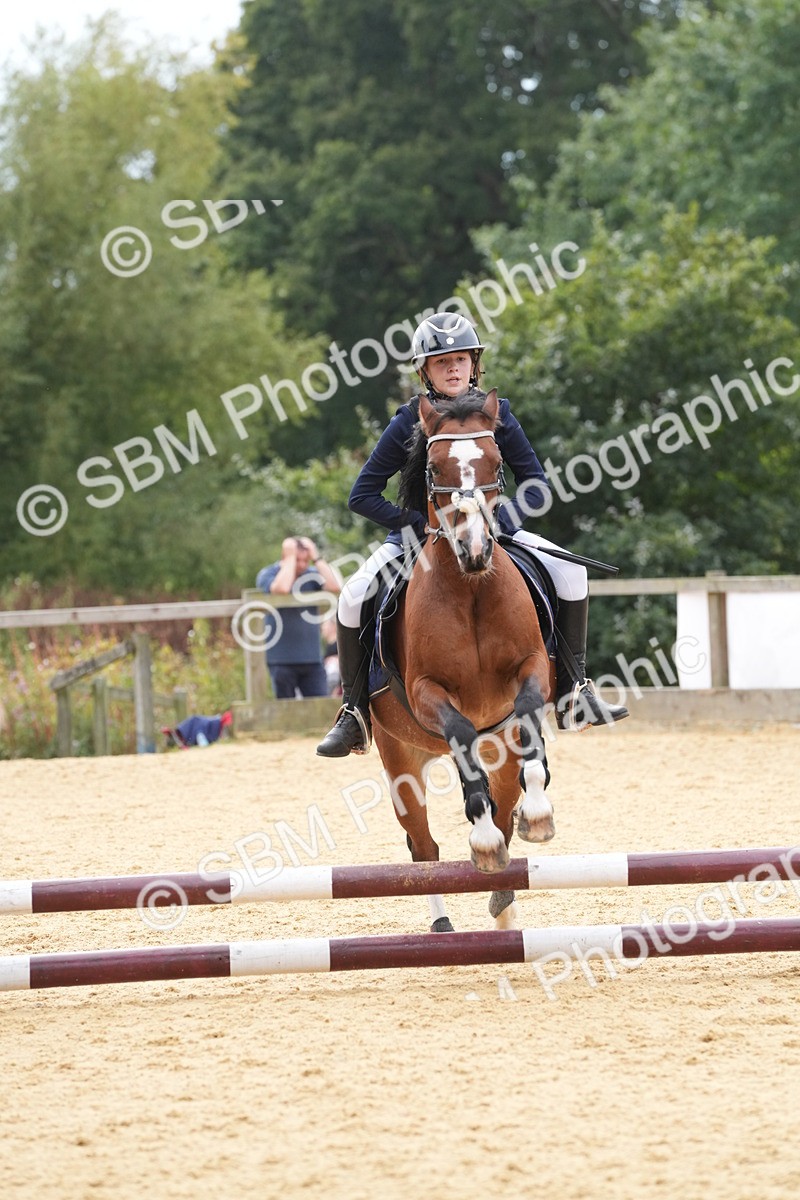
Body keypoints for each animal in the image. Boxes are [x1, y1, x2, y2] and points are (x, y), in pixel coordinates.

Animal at [370, 386, 556, 933]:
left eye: (496, 460)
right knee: (423, 846)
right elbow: (461, 734)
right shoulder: (427, 693)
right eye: (434, 467)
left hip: (499, 746)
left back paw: (504, 905)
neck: (471, 587)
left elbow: (530, 717)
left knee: (506, 796)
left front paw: (539, 813)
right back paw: (443, 924)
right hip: (399, 758)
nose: (475, 549)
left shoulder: (532, 669)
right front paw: (483, 839)